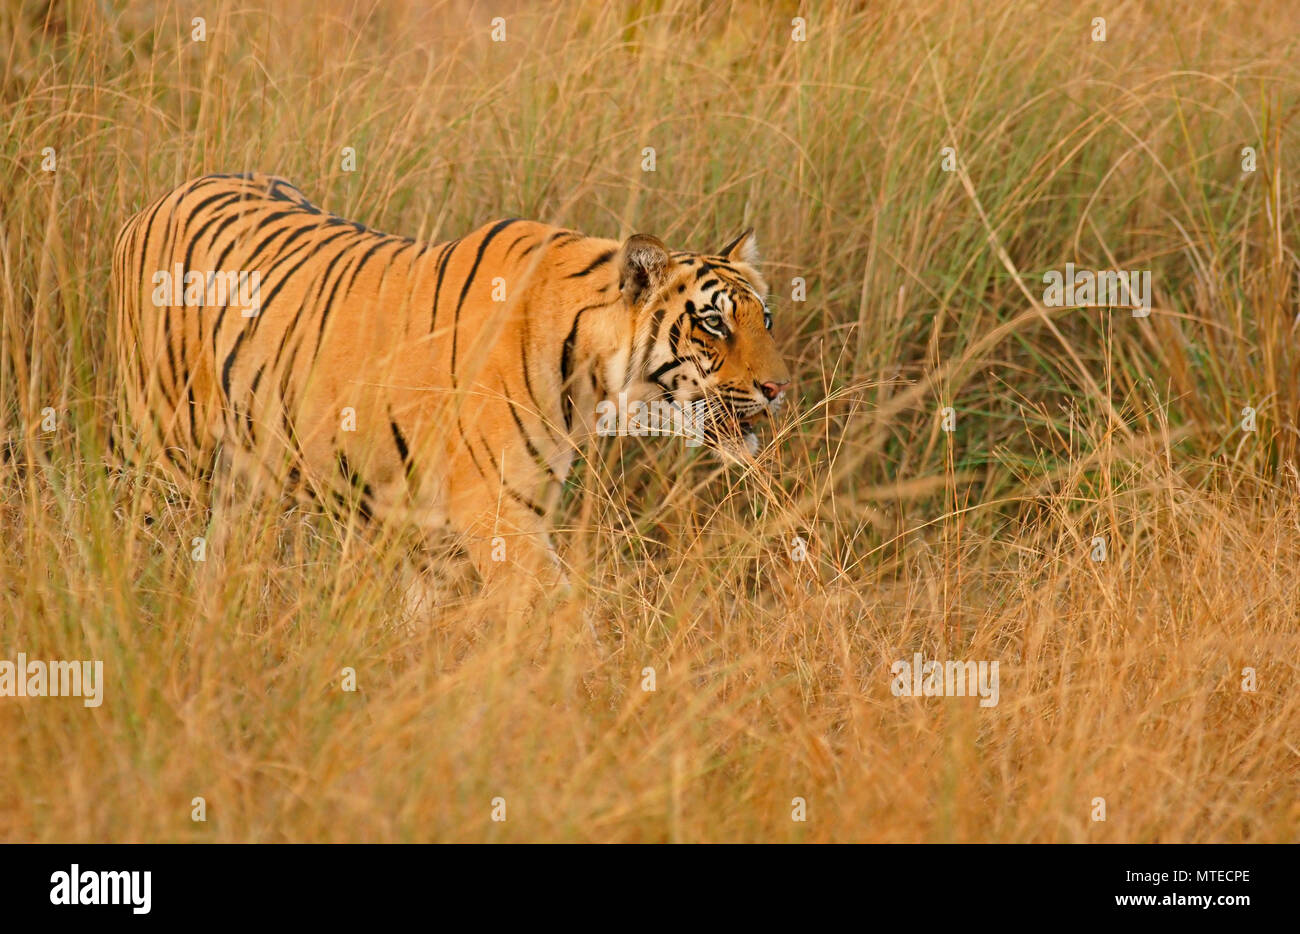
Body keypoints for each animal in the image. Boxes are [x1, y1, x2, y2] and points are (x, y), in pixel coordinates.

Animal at [111, 172, 791, 607]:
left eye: (765, 319)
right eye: (714, 324)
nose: (779, 388)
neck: (589, 377)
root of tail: (157, 201)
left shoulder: (438, 533)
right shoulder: (500, 515)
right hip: (164, 452)